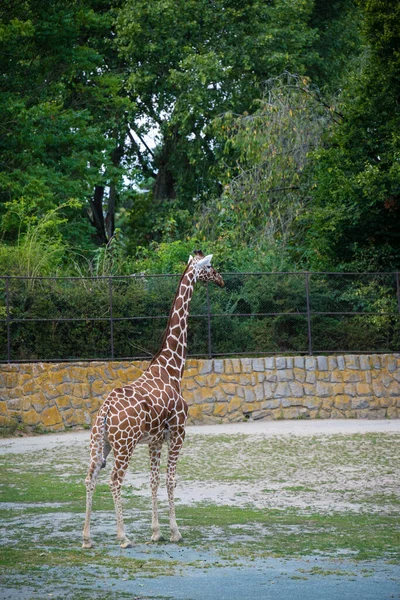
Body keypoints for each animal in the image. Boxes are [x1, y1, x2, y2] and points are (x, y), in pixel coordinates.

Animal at [81, 250, 225, 548]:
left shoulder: (155, 440)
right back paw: (123, 537)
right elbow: (171, 481)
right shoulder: (179, 433)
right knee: (114, 480)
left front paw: (156, 532)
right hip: (124, 445)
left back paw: (87, 538)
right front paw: (175, 532)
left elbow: (154, 481)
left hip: (100, 443)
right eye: (210, 267)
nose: (221, 280)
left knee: (91, 478)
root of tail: (105, 411)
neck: (172, 367)